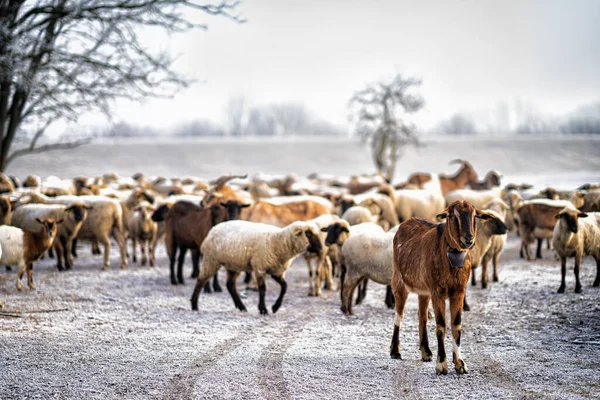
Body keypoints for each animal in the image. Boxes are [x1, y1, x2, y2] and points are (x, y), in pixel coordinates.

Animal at [192, 220, 324, 314]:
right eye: (308, 234)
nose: (320, 249)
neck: (279, 241)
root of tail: (211, 231)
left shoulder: (275, 270)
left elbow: (284, 286)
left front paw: (275, 307)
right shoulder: (260, 267)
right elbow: (262, 289)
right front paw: (263, 309)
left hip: (233, 265)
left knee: (230, 285)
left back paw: (241, 307)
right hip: (211, 260)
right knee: (201, 280)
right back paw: (194, 305)